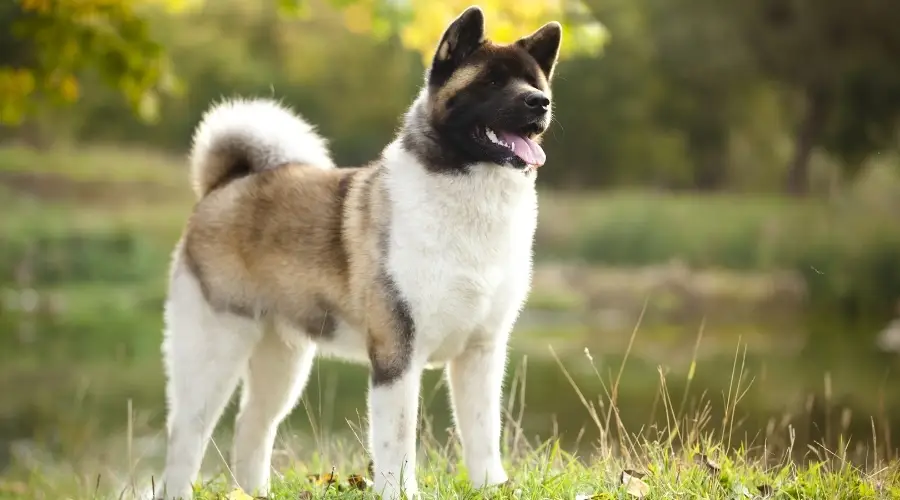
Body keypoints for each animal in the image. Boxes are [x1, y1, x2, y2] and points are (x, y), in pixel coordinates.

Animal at [158, 4, 560, 500]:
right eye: (491, 82)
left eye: (534, 83)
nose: (539, 104)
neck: (469, 193)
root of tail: (224, 186)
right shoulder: (396, 355)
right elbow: (397, 444)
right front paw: (401, 493)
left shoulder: (482, 353)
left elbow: (483, 434)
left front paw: (491, 487)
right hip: (213, 353)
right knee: (186, 439)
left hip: (282, 361)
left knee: (252, 427)